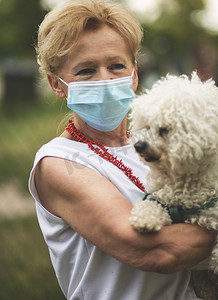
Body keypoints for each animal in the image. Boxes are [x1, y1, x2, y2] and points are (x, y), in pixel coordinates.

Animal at [129, 71, 218, 274]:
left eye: (164, 130)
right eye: (147, 126)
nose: (138, 146)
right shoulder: (160, 198)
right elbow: (150, 206)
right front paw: (144, 220)